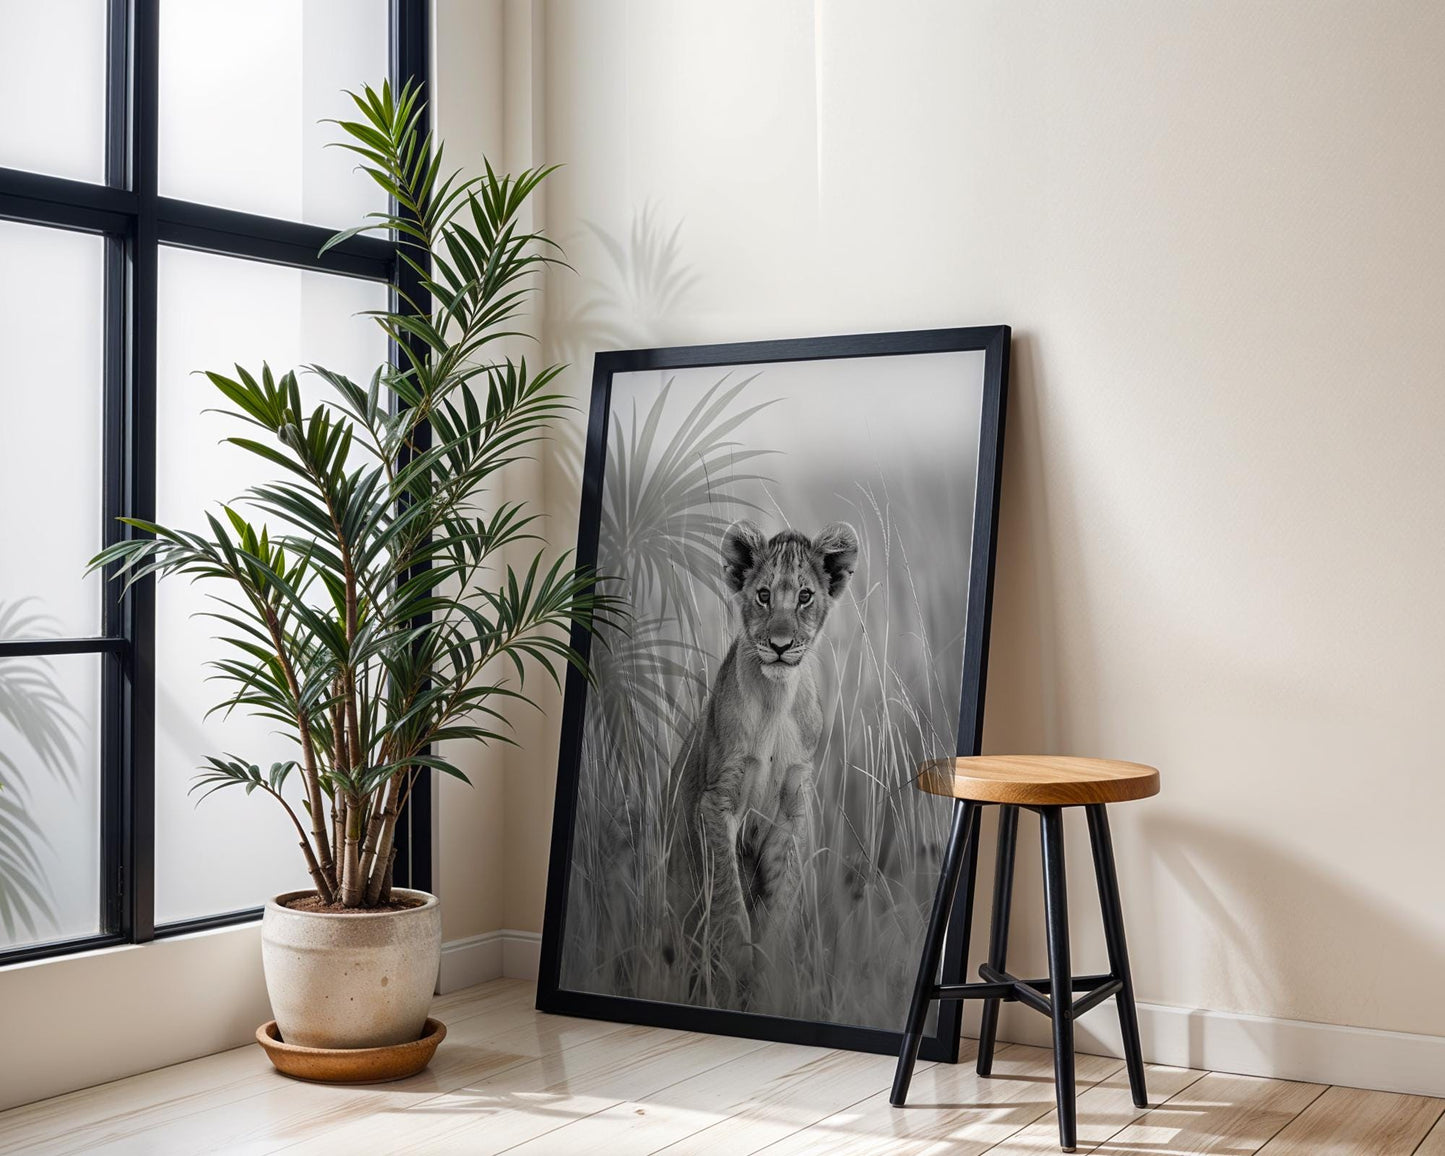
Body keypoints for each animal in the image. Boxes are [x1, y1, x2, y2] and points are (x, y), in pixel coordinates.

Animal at [664, 519, 859, 1008]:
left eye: (805, 596)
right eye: (764, 595)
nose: (780, 645)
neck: (776, 700)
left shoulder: (792, 809)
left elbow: (782, 900)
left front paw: (770, 972)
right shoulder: (717, 801)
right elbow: (730, 901)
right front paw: (740, 963)